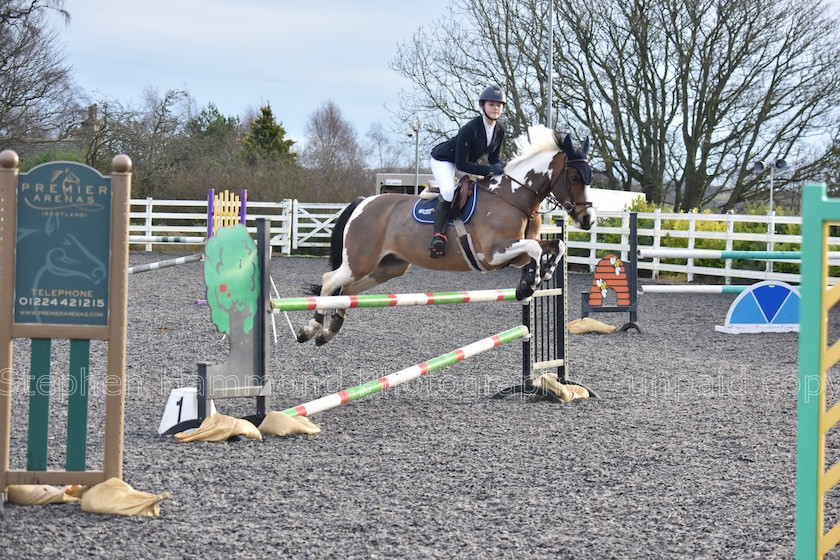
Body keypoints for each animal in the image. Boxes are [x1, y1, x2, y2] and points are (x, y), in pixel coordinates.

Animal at [298, 124, 592, 346]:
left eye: (589, 177)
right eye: (574, 177)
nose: (587, 220)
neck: (513, 197)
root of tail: (364, 202)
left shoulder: (514, 254)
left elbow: (555, 245)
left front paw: (537, 277)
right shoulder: (492, 254)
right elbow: (535, 248)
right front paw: (529, 284)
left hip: (387, 267)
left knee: (345, 291)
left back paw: (328, 332)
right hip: (360, 262)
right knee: (329, 281)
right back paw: (310, 329)